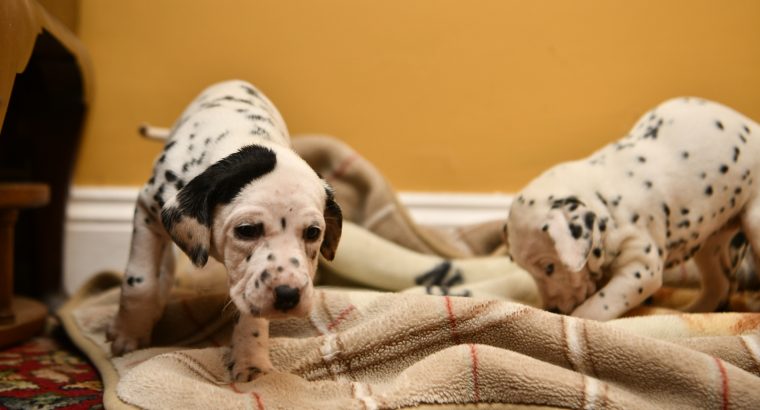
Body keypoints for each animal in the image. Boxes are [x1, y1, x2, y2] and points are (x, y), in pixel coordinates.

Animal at [105, 81, 342, 384]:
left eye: (312, 233)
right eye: (247, 230)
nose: (288, 295)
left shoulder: (250, 283)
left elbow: (251, 311)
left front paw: (251, 359)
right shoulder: (148, 210)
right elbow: (140, 283)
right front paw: (129, 334)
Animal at [502, 97, 756, 322]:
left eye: (549, 267)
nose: (552, 309)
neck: (603, 200)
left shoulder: (641, 267)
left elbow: (597, 306)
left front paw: (574, 319)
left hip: (754, 220)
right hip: (710, 242)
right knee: (720, 284)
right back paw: (693, 311)